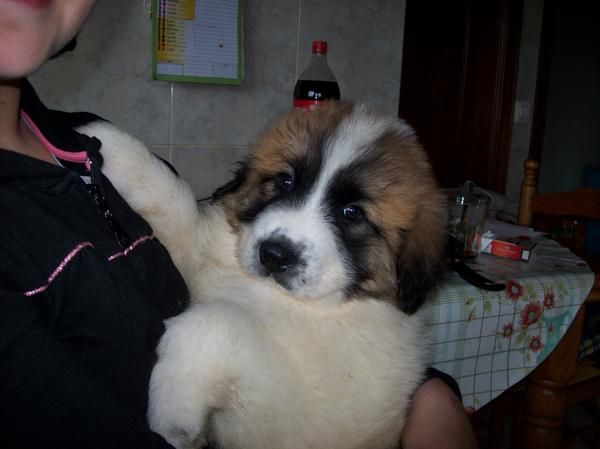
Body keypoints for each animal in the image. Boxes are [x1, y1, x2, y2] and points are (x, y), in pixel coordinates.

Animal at [89, 101, 446, 448]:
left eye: (352, 213)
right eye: (285, 181)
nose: (274, 255)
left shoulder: (296, 412)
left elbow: (221, 321)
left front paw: (173, 414)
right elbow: (180, 211)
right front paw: (108, 144)